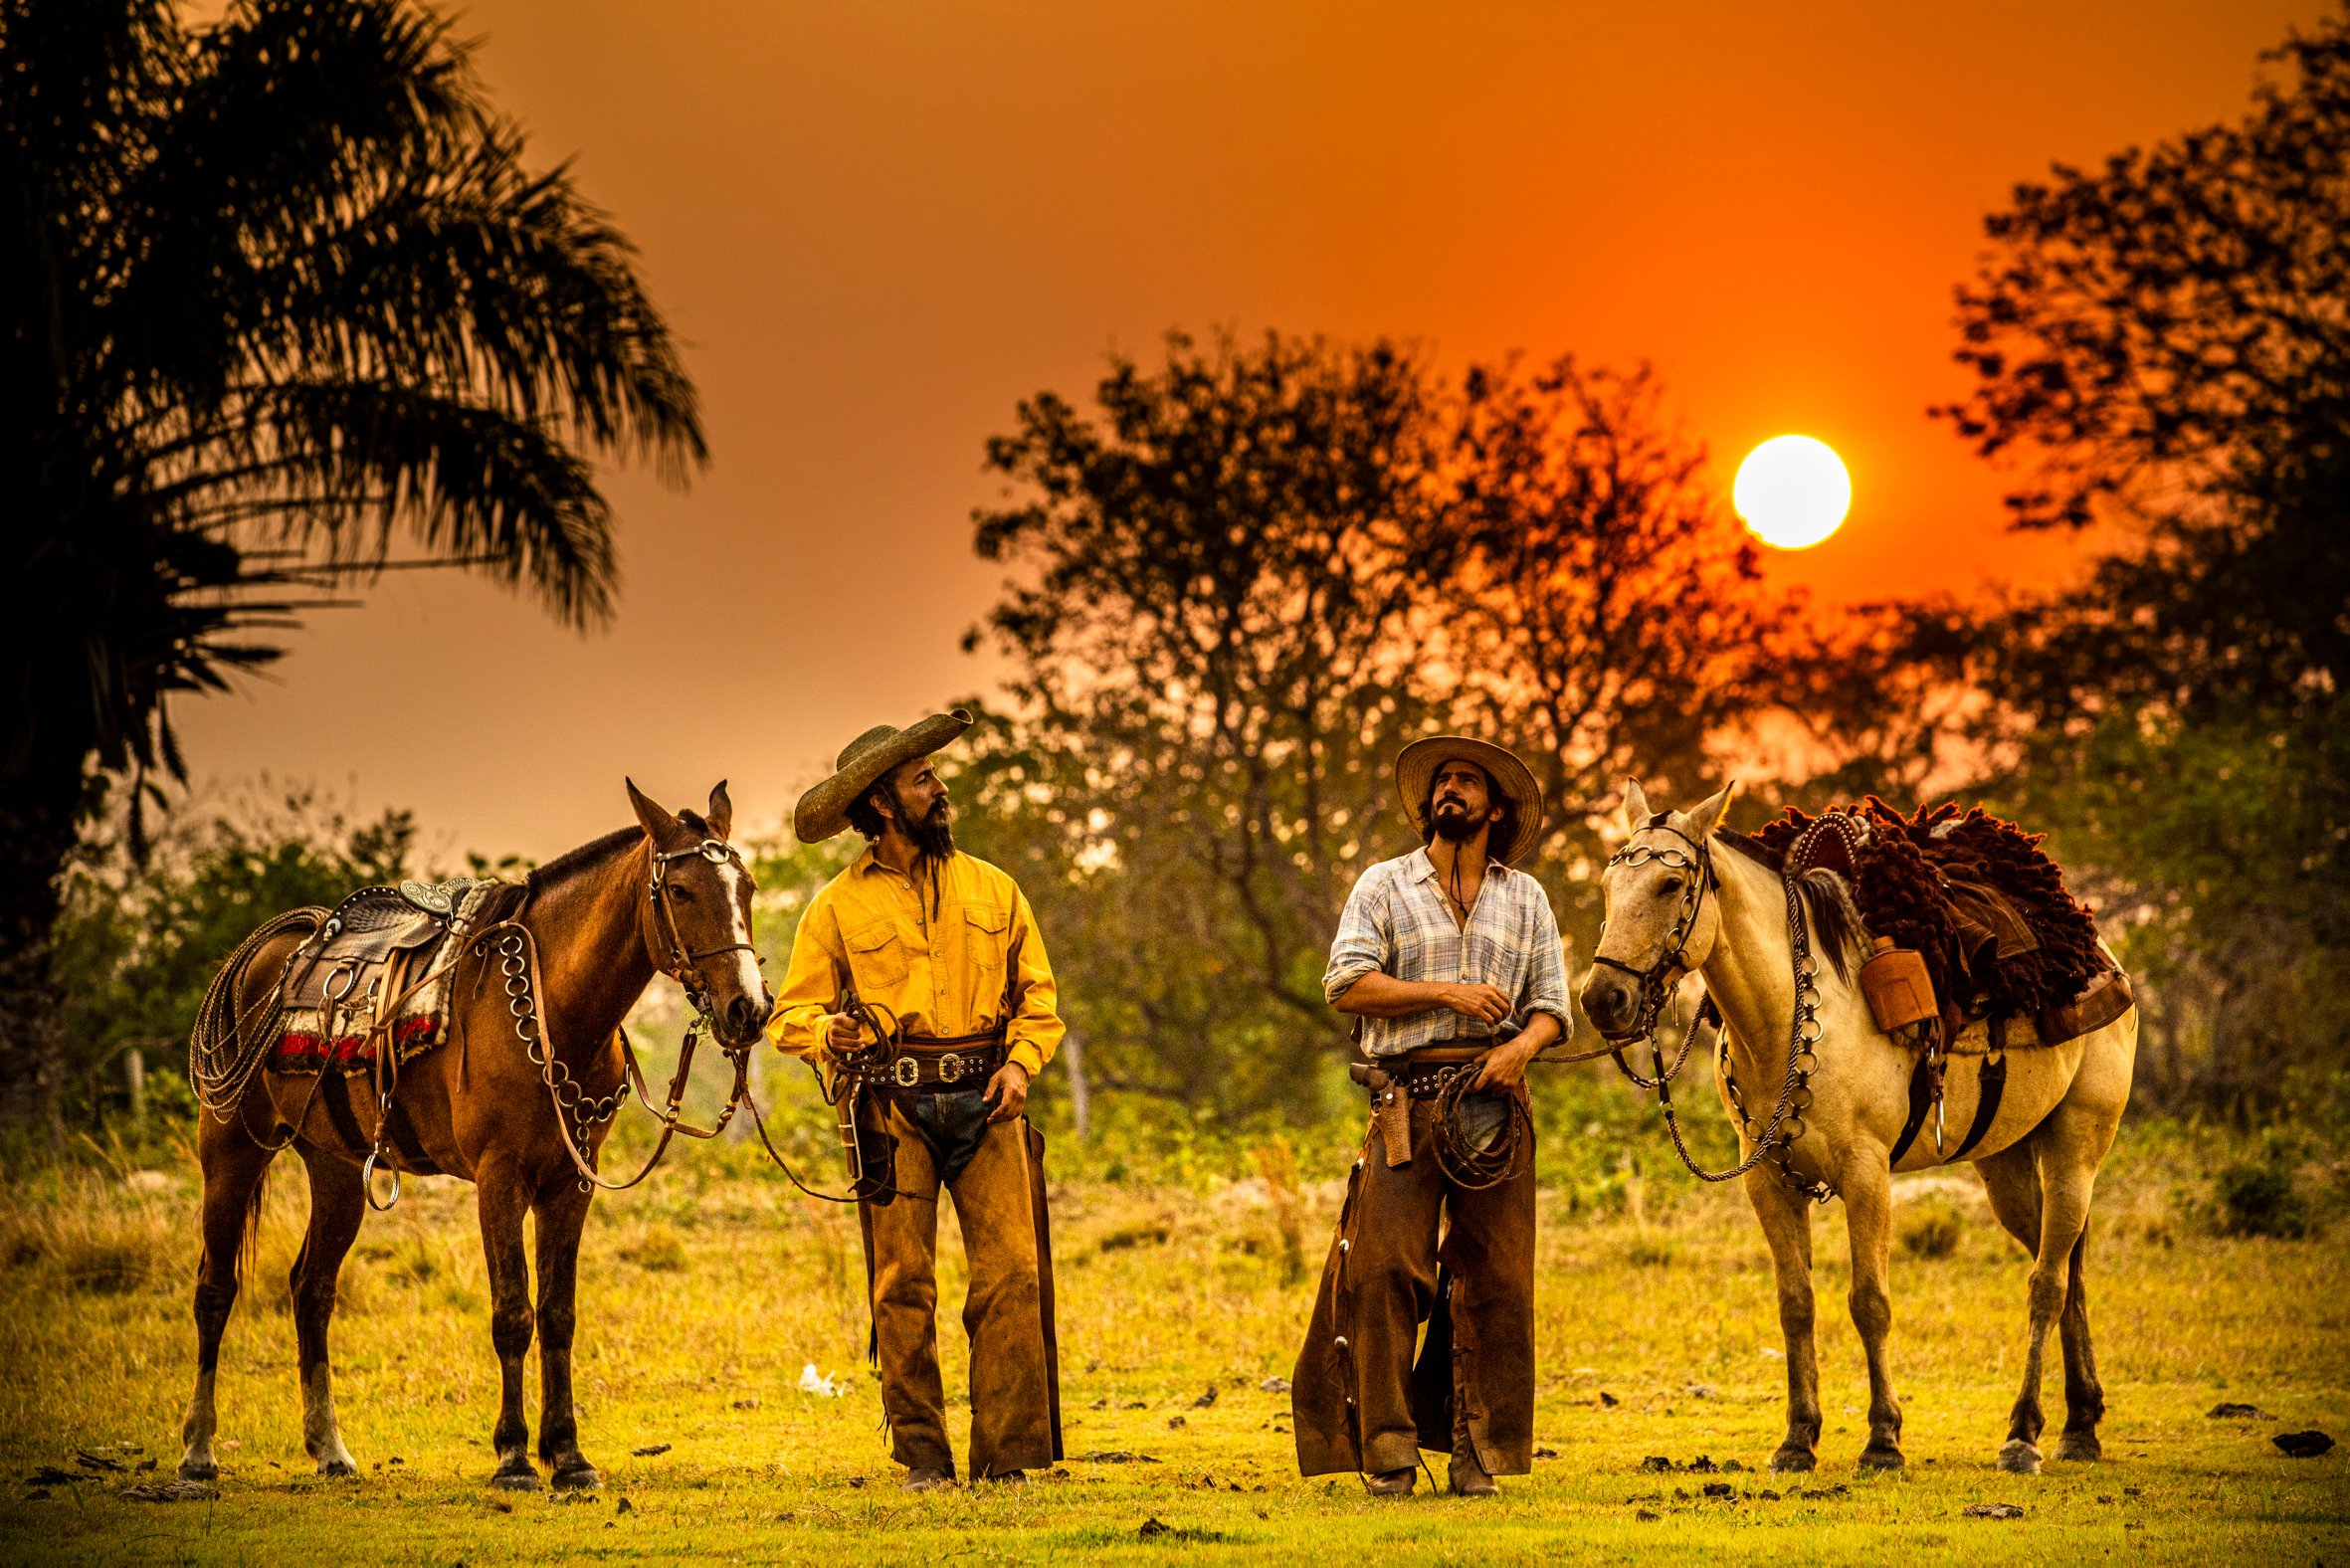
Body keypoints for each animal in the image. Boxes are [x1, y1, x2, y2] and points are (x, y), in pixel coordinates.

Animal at [185, 785, 770, 1494]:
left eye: (747, 887)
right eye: (680, 890)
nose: (748, 1009)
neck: (553, 1007)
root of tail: (264, 952)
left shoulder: (570, 1183)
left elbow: (558, 1316)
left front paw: (569, 1456)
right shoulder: (500, 1177)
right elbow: (513, 1313)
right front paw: (515, 1458)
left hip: (335, 1168)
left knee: (312, 1290)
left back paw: (330, 1449)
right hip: (230, 1151)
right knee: (215, 1289)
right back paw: (199, 1452)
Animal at [1579, 789, 2152, 1475]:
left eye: (1670, 883)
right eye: (1609, 884)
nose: (1603, 998)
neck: (1788, 1018)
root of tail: (2103, 957)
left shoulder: (1866, 1173)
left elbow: (1869, 1301)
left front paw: (1882, 1440)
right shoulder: (1767, 1182)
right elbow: (1795, 1303)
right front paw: (1797, 1438)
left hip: (2077, 1145)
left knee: (2047, 1282)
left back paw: (2024, 1434)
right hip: (2008, 1162)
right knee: (2066, 1267)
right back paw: (2081, 1424)